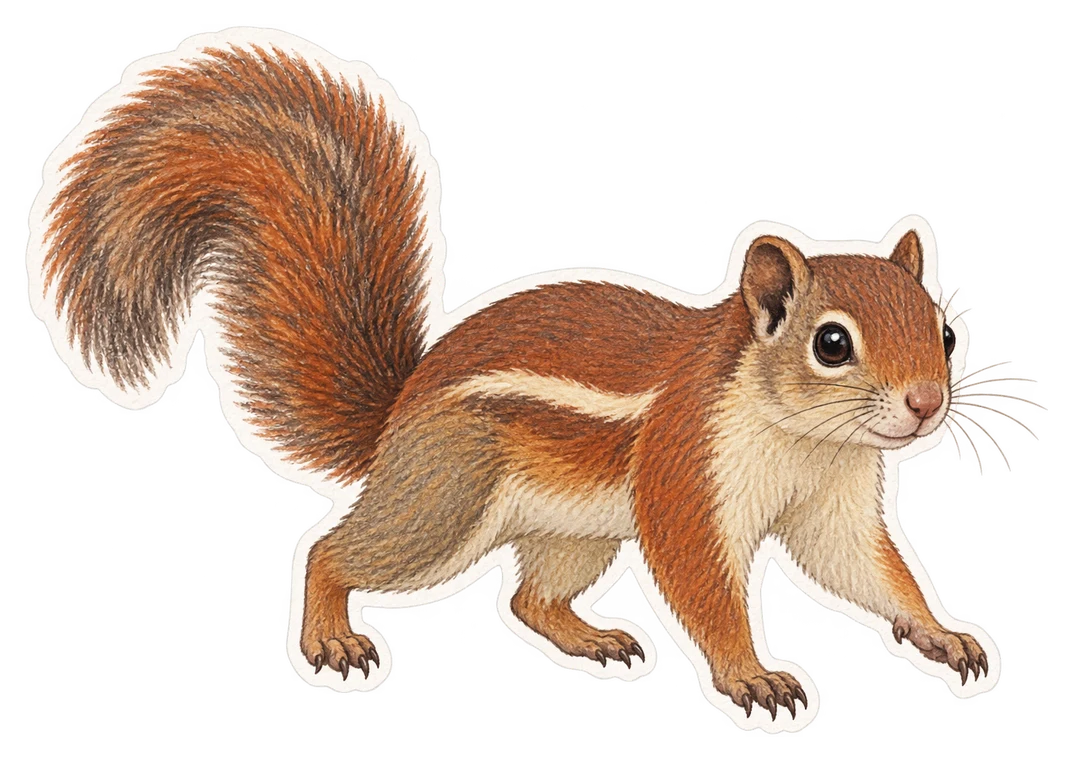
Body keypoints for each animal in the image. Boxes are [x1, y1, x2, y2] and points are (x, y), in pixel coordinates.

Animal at [31, 36, 1012, 721]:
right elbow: (703, 582)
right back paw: (333, 636)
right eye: (832, 344)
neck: (805, 438)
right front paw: (753, 675)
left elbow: (865, 568)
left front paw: (942, 632)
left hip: (570, 530)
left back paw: (596, 637)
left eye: (944, 330)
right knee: (335, 550)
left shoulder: (833, 501)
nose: (928, 403)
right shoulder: (685, 471)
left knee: (528, 598)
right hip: (447, 497)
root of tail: (397, 417)